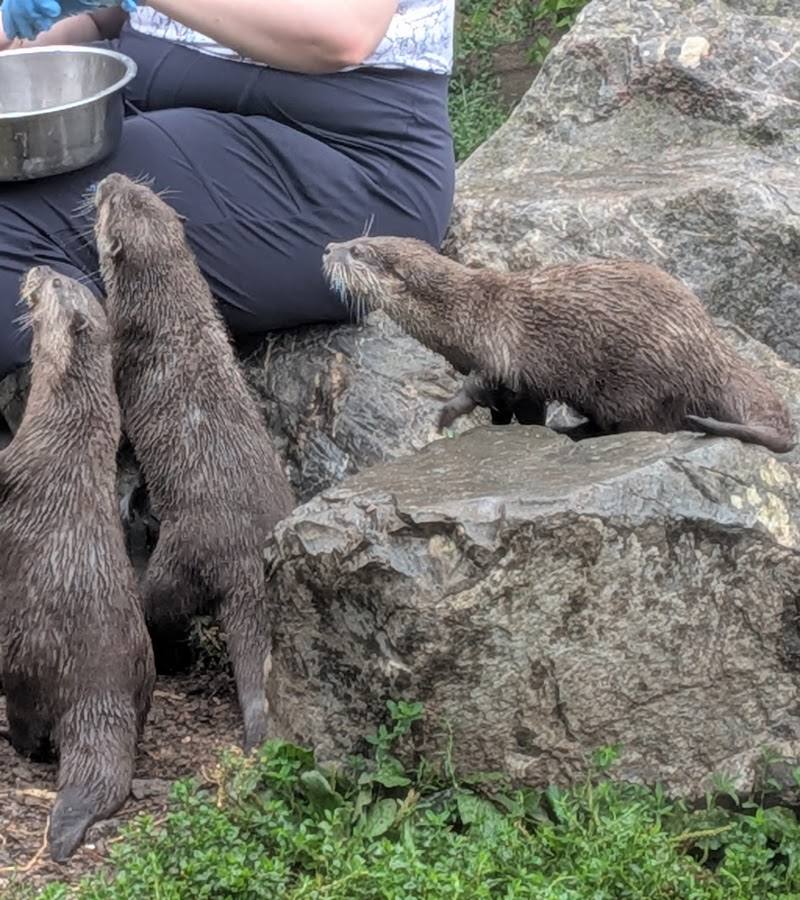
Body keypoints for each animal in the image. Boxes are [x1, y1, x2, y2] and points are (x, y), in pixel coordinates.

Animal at [0, 267, 155, 862]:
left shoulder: (13, 465)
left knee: (32, 729)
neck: (65, 426)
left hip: (25, 658)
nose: (36, 270)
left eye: (56, 285)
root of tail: (100, 690)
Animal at [93, 173, 295, 753]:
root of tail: (251, 559)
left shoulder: (122, 350)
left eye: (106, 205)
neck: (173, 311)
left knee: (160, 606)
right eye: (139, 189)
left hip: (185, 553)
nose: (108, 178)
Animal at [322, 237, 795, 454]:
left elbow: (478, 388)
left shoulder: (499, 353)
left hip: (636, 382)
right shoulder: (520, 386)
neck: (463, 316)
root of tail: (709, 347)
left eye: (358, 249)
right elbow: (511, 411)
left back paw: (578, 434)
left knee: (647, 426)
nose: (328, 247)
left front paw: (446, 414)